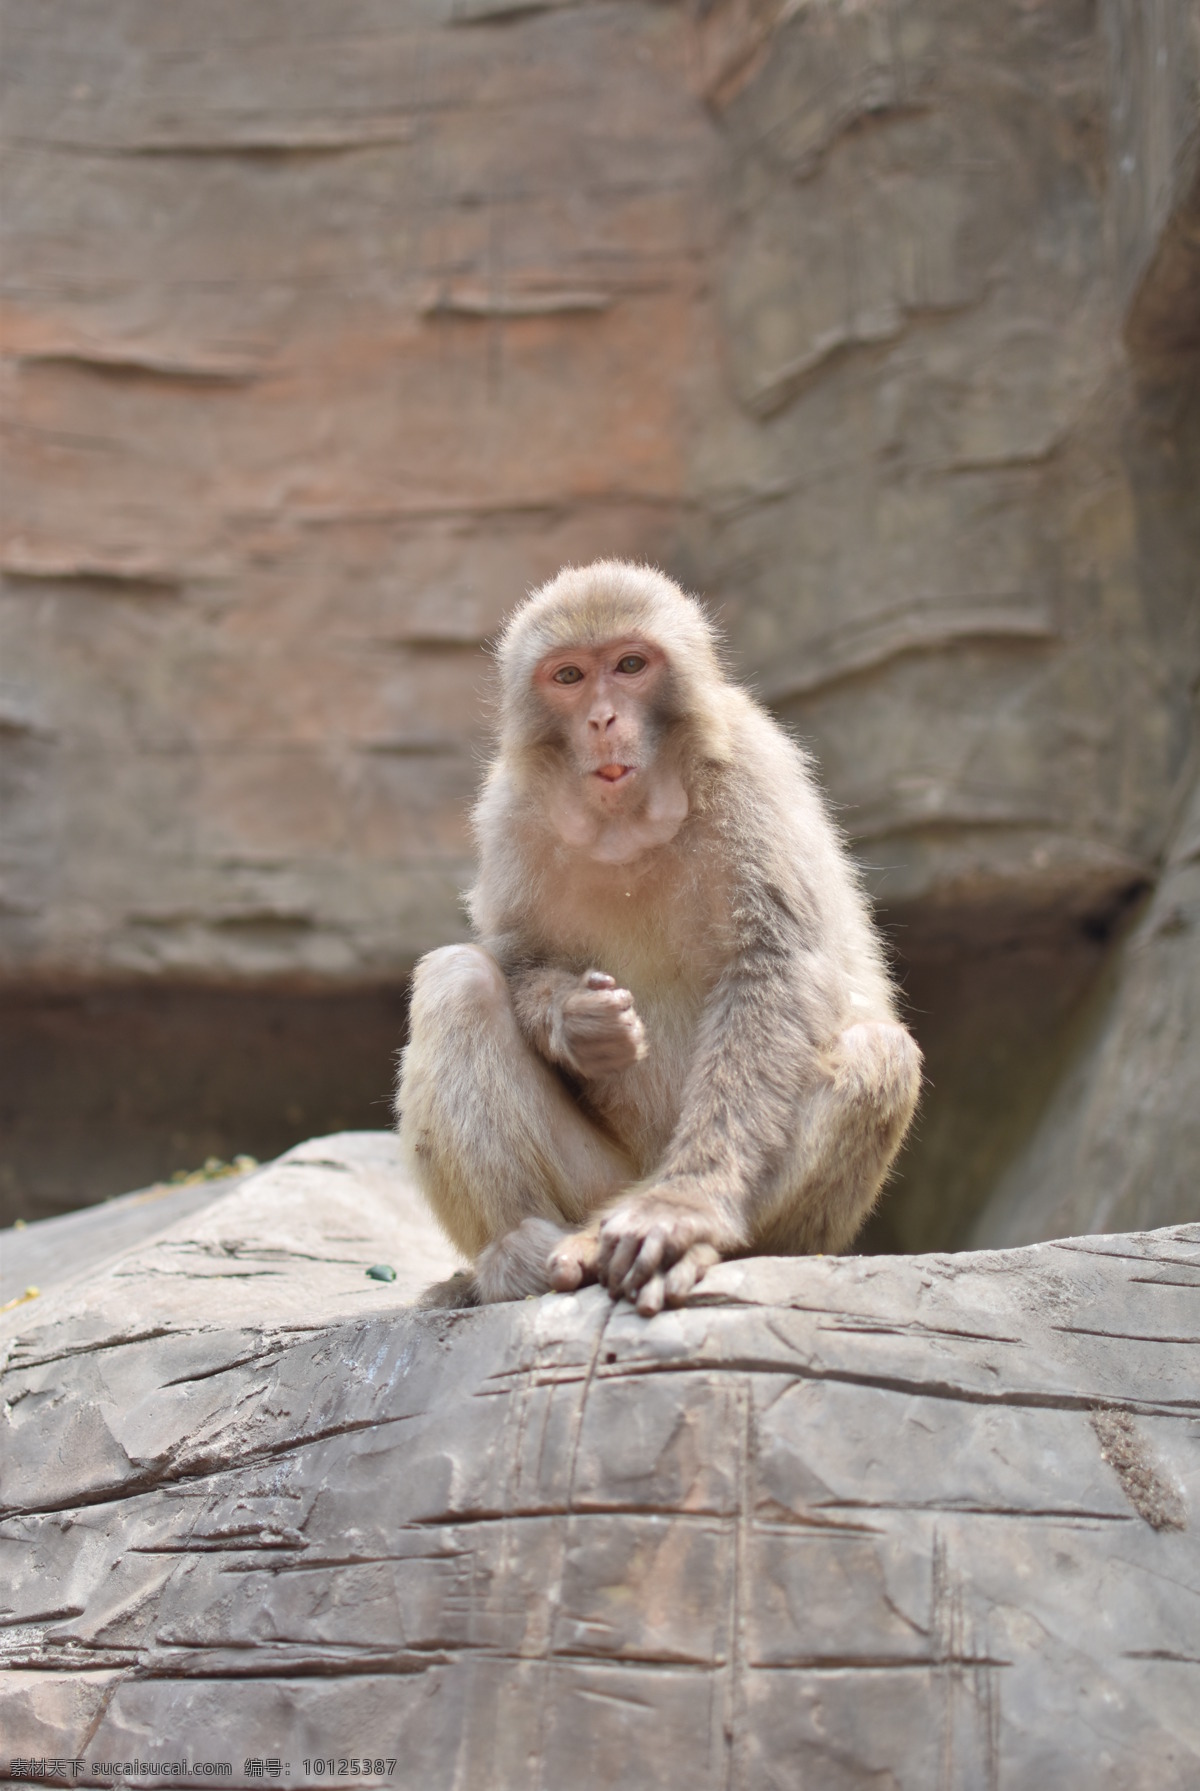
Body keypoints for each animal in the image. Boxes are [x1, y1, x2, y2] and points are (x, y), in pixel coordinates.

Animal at [399, 558, 924, 1318]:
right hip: (596, 1184)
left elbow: (773, 968)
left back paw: (679, 1239)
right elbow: (513, 953)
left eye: (630, 665)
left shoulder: (752, 770)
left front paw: (683, 1212)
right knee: (458, 982)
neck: (629, 817)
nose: (602, 718)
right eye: (569, 676)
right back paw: (514, 1258)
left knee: (874, 1051)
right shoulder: (509, 808)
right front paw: (579, 1022)